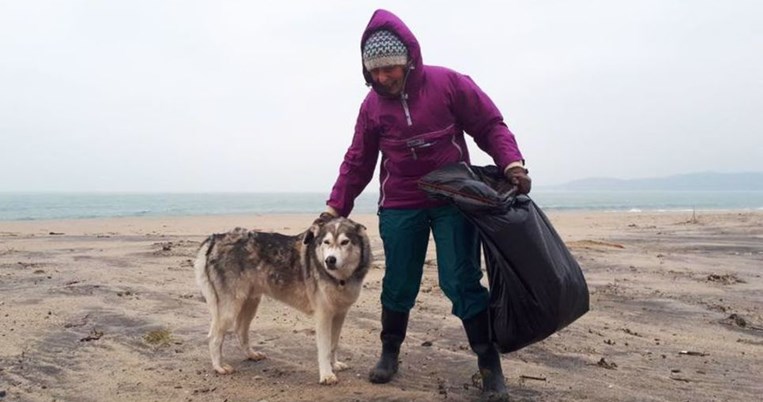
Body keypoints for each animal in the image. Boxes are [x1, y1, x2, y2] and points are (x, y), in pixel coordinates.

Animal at [195, 218, 372, 384]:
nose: (330, 260)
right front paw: (327, 375)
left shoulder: (339, 314)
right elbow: (324, 349)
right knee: (214, 337)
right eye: (326, 242)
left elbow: (333, 345)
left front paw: (334, 365)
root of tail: (214, 239)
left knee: (240, 330)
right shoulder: (323, 316)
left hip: (250, 303)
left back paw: (251, 354)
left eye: (345, 242)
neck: (339, 279)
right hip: (230, 309)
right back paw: (218, 366)